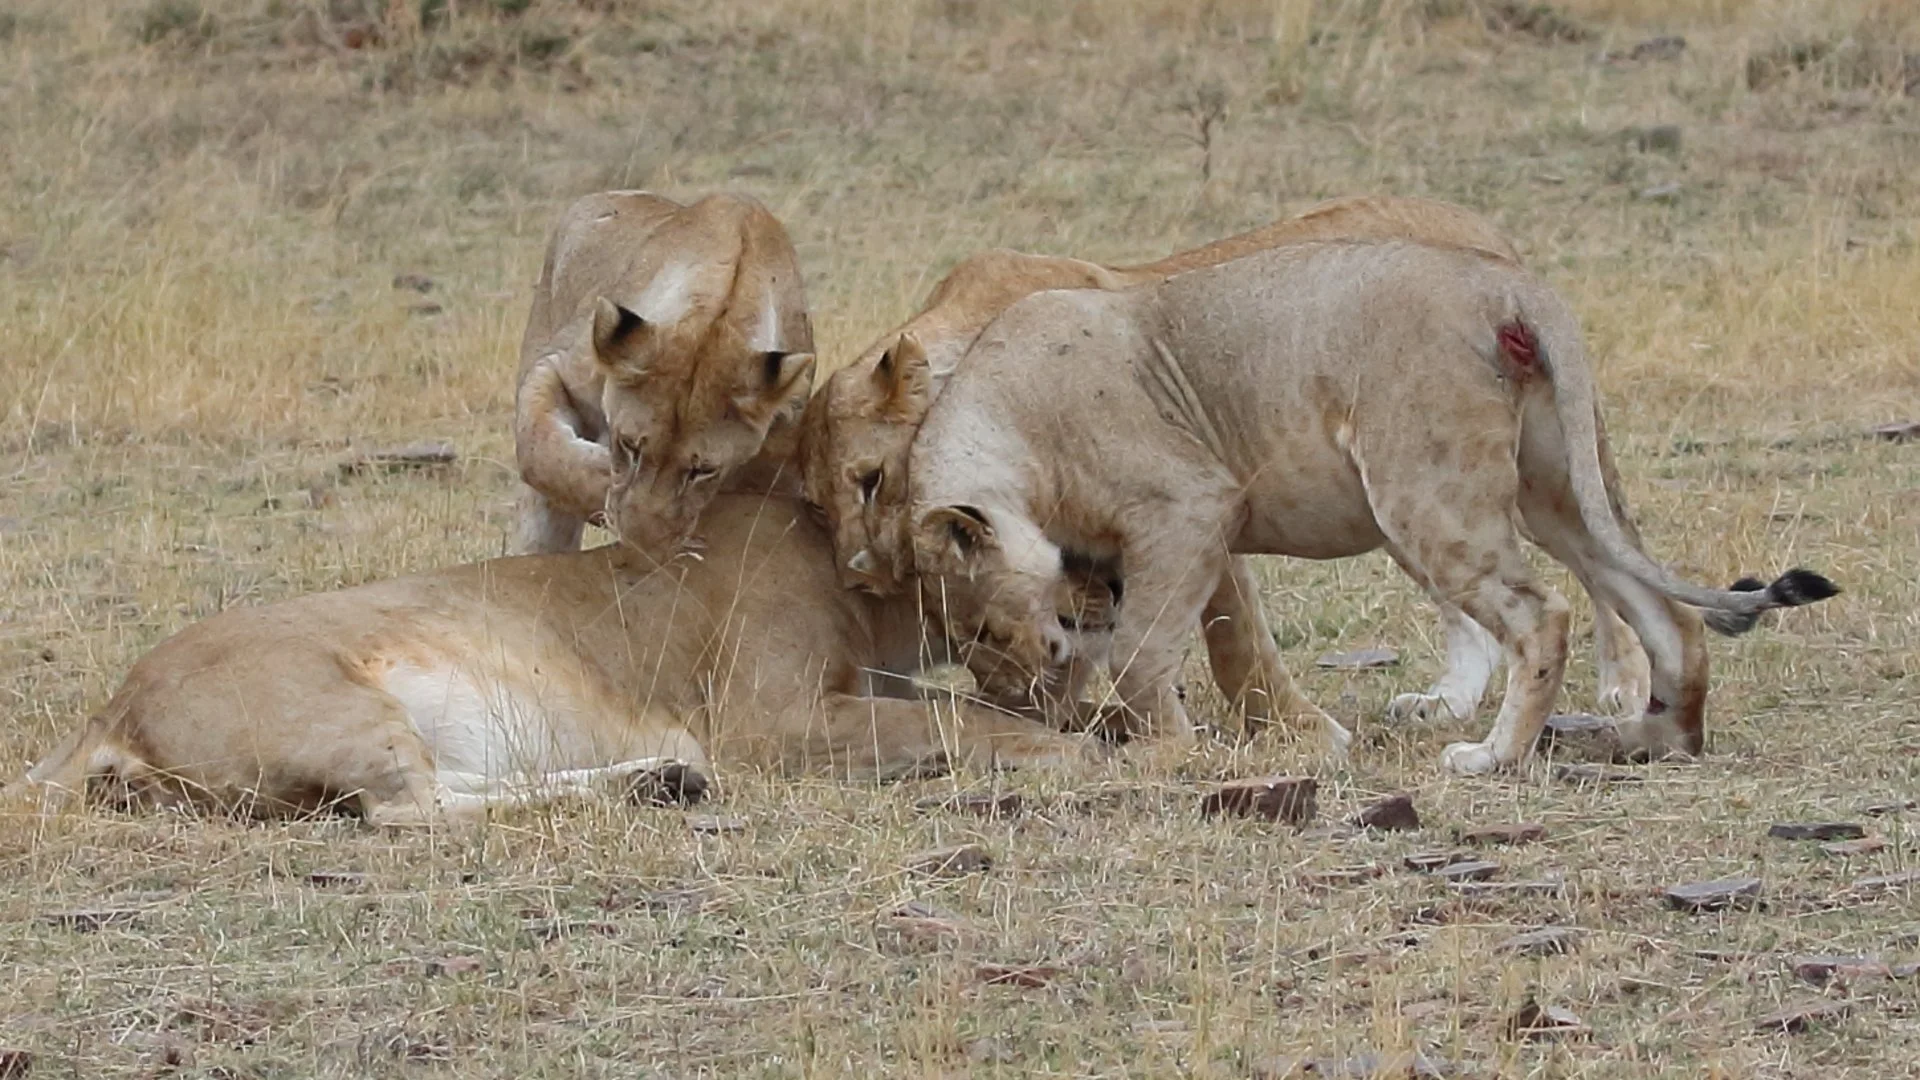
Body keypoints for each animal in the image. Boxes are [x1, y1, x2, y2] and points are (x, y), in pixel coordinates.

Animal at [4, 496, 1095, 825]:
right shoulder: (770, 722)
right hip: (342, 709)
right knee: (409, 812)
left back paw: (661, 779)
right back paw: (658, 781)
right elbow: (956, 717)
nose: (1075, 623)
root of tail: (108, 709)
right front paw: (1072, 754)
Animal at [513, 191, 815, 558]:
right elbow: (541, 450)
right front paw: (603, 480)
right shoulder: (560, 366)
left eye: (703, 470)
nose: (641, 545)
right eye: (629, 444)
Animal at [797, 195, 1647, 750]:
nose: (863, 572)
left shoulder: (1204, 499)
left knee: (1605, 556)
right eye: (818, 503)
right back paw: (1449, 701)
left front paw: (1298, 731)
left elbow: (1237, 642)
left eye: (871, 478)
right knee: (1469, 596)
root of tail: (1478, 227)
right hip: (1406, 488)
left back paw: (1626, 684)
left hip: (1514, 464)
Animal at [906, 238, 1837, 774]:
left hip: (1424, 488)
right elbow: (1132, 642)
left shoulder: (1189, 505)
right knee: (1664, 613)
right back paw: (1652, 741)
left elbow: (1141, 653)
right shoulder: (1116, 561)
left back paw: (1490, 757)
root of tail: (1507, 283)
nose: (1009, 695)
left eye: (982, 630)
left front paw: (1169, 750)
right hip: (1557, 491)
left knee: (1543, 616)